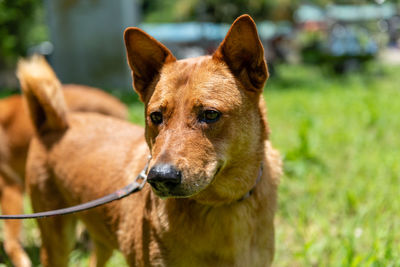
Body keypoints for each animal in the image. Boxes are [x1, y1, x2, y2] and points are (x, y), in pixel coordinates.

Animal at [19, 15, 282, 266]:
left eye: (210, 114)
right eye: (156, 116)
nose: (160, 177)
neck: (220, 206)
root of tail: (55, 124)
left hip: (101, 237)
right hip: (56, 239)